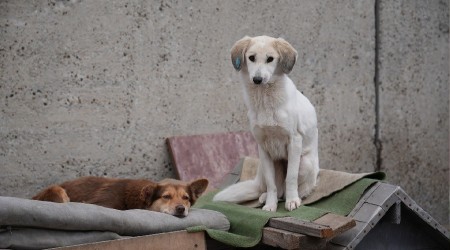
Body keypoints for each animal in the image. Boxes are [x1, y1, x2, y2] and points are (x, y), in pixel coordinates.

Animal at [213, 35, 318, 211]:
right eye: (251, 57)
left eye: (270, 59)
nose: (257, 79)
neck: (265, 100)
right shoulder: (263, 147)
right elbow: (271, 184)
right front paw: (270, 204)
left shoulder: (295, 141)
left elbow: (291, 177)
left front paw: (292, 200)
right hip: (264, 164)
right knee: (276, 189)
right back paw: (264, 197)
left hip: (305, 163)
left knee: (299, 188)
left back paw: (296, 197)